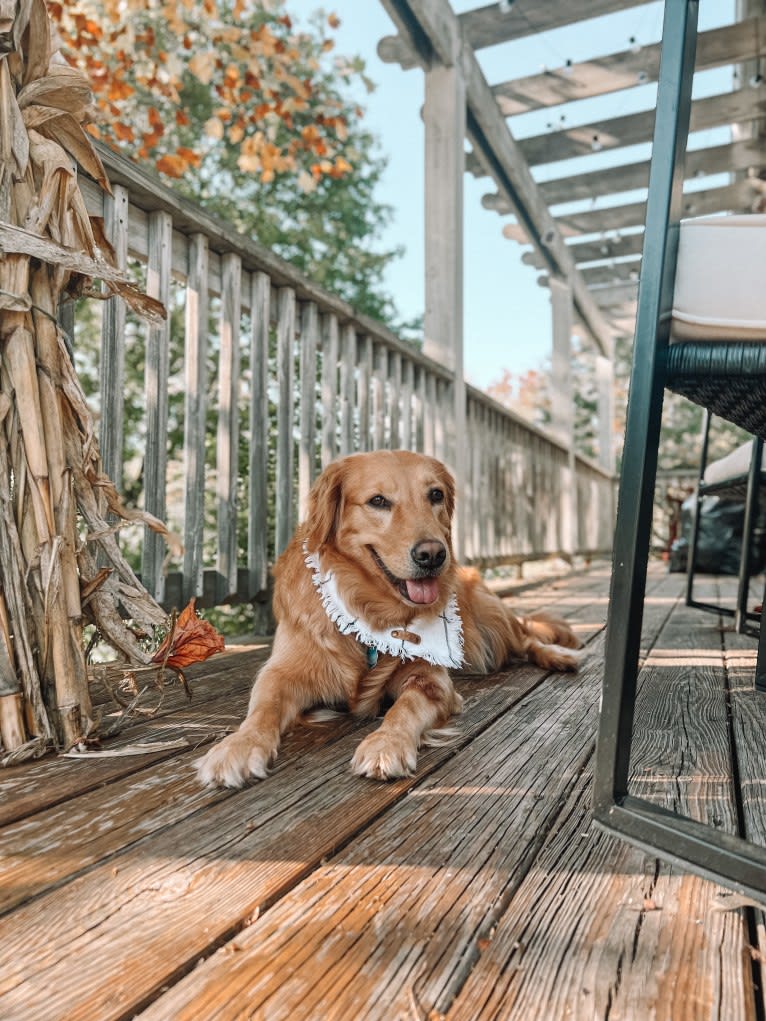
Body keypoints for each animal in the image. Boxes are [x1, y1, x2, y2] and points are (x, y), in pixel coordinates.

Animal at [198, 451, 580, 784]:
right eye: (378, 501)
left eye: (435, 494)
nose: (433, 555)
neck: (371, 609)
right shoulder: (282, 672)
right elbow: (264, 707)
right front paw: (239, 746)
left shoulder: (432, 679)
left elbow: (405, 708)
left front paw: (387, 743)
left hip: (492, 616)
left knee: (527, 636)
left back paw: (560, 656)